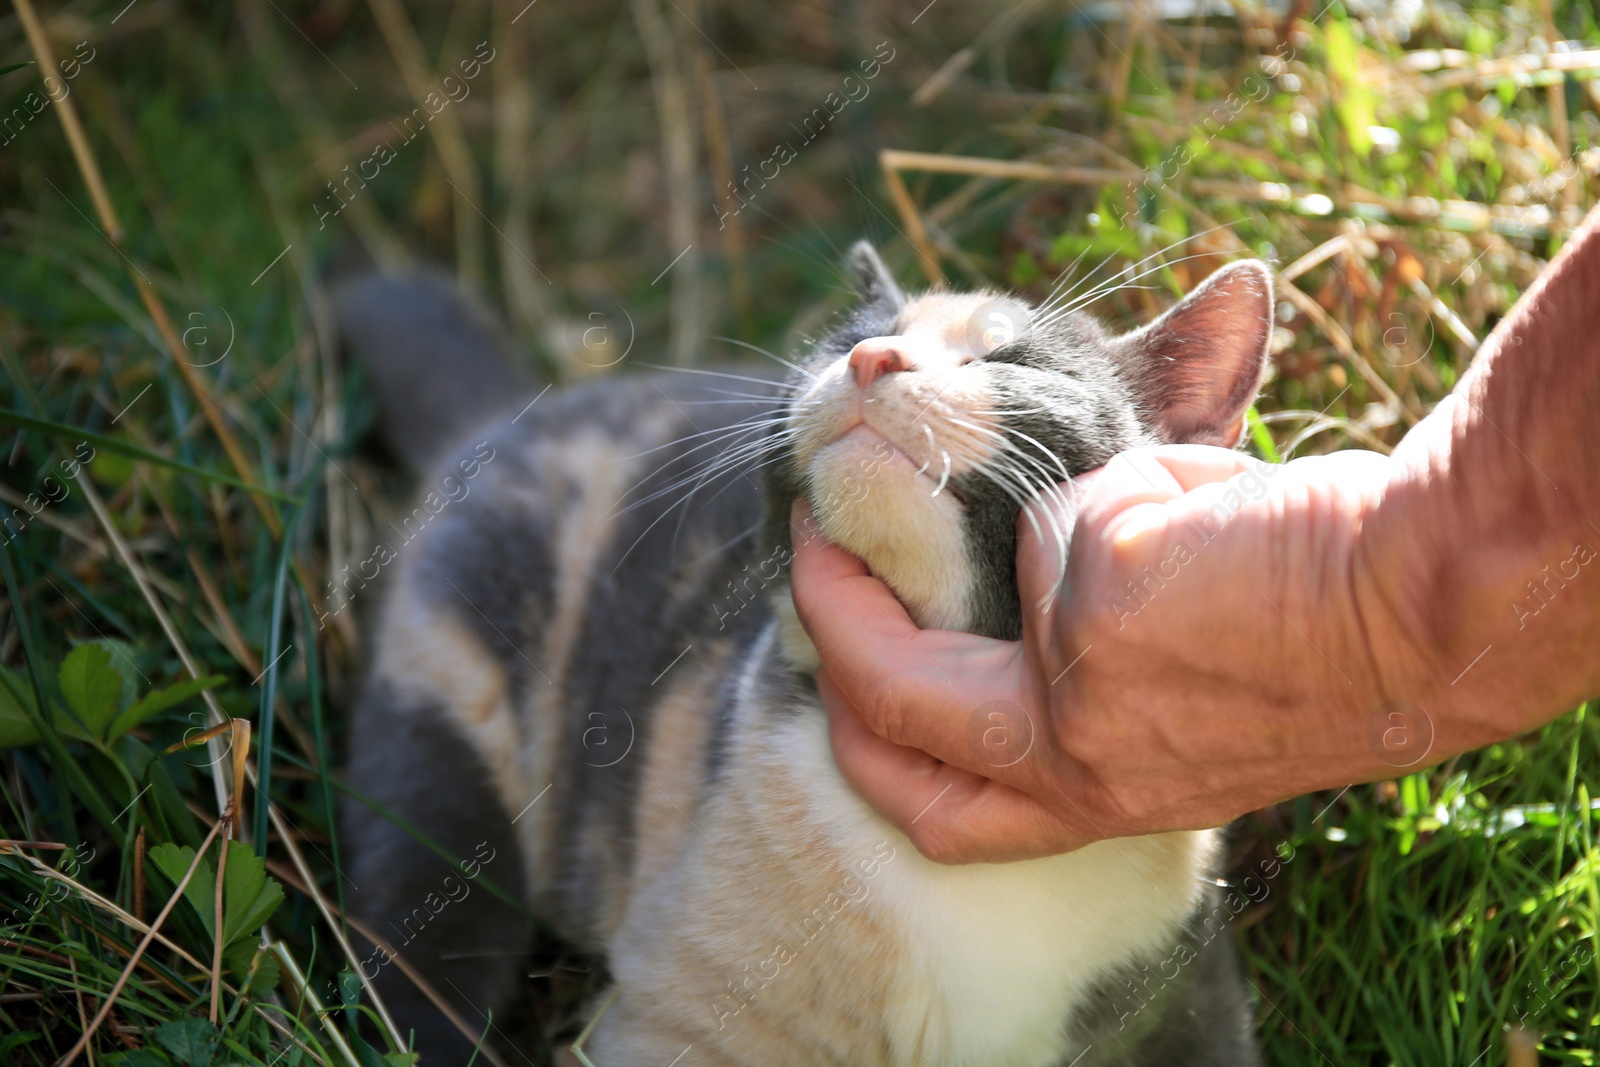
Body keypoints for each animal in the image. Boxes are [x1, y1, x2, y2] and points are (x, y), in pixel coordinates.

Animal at [337, 244, 1273, 1067]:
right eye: (852, 335)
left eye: (1011, 356)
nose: (869, 356)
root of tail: (509, 417)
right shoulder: (678, 1015)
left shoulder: (1184, 1000)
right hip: (441, 747)